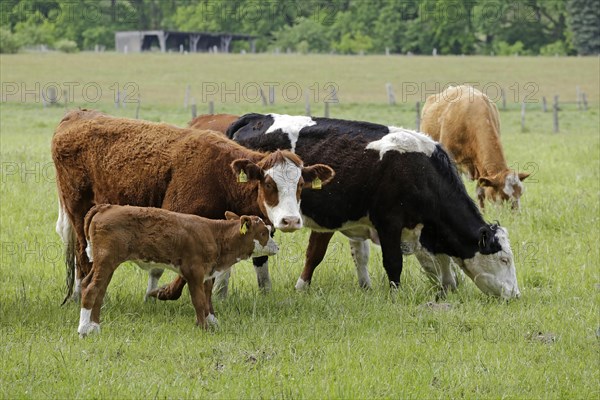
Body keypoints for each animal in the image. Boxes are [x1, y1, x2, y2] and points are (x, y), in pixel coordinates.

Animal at [52, 109, 336, 304]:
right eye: (268, 183)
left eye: (300, 185)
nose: (291, 221)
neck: (219, 174)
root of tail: (76, 115)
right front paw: (163, 292)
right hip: (78, 210)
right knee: (82, 254)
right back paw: (80, 295)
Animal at [77, 203, 278, 338]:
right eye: (264, 232)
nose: (277, 247)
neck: (215, 235)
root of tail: (106, 207)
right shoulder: (194, 272)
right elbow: (199, 301)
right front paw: (204, 328)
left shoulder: (207, 274)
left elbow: (208, 299)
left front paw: (211, 322)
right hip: (106, 260)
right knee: (92, 290)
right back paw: (83, 329)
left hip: (105, 264)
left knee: (96, 289)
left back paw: (94, 327)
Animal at [159, 112, 520, 300]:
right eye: (503, 259)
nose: (515, 295)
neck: (420, 168)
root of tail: (256, 118)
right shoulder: (389, 223)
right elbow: (393, 264)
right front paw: (395, 297)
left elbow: (436, 263)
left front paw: (445, 289)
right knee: (255, 254)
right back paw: (243, 290)